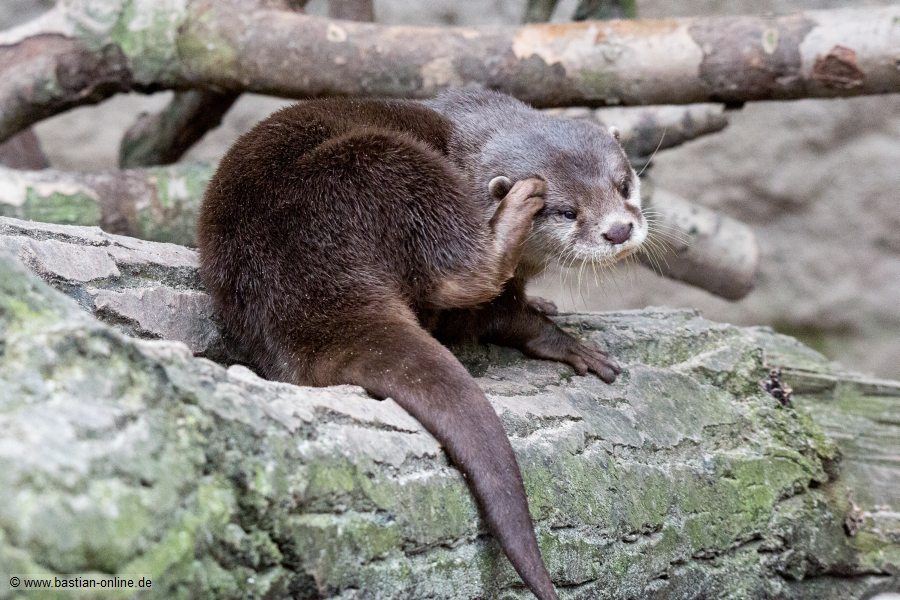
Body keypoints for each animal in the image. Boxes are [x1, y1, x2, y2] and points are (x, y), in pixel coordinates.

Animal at [197, 88, 646, 600]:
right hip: (380, 163)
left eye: (623, 185)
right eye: (567, 211)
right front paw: (570, 344)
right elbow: (503, 316)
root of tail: (293, 273)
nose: (618, 230)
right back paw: (513, 212)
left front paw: (544, 301)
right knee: (463, 271)